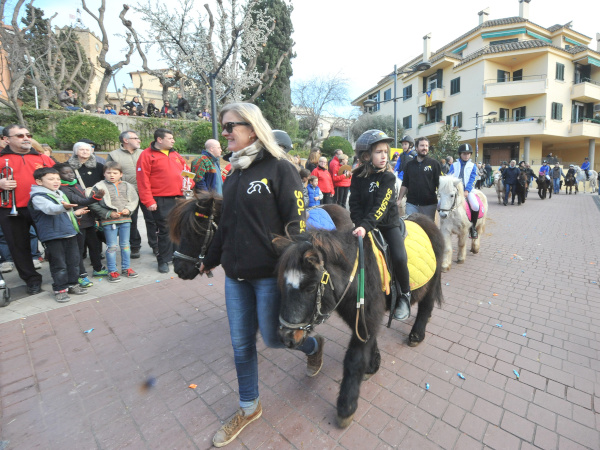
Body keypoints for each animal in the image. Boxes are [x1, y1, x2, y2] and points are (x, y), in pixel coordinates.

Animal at [274, 211, 442, 428]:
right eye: (281, 284)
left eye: (310, 287)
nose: (286, 337)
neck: (356, 277)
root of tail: (426, 220)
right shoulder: (360, 318)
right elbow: (369, 342)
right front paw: (372, 366)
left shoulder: (368, 316)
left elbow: (354, 359)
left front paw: (346, 407)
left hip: (432, 282)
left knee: (426, 307)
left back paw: (416, 335)